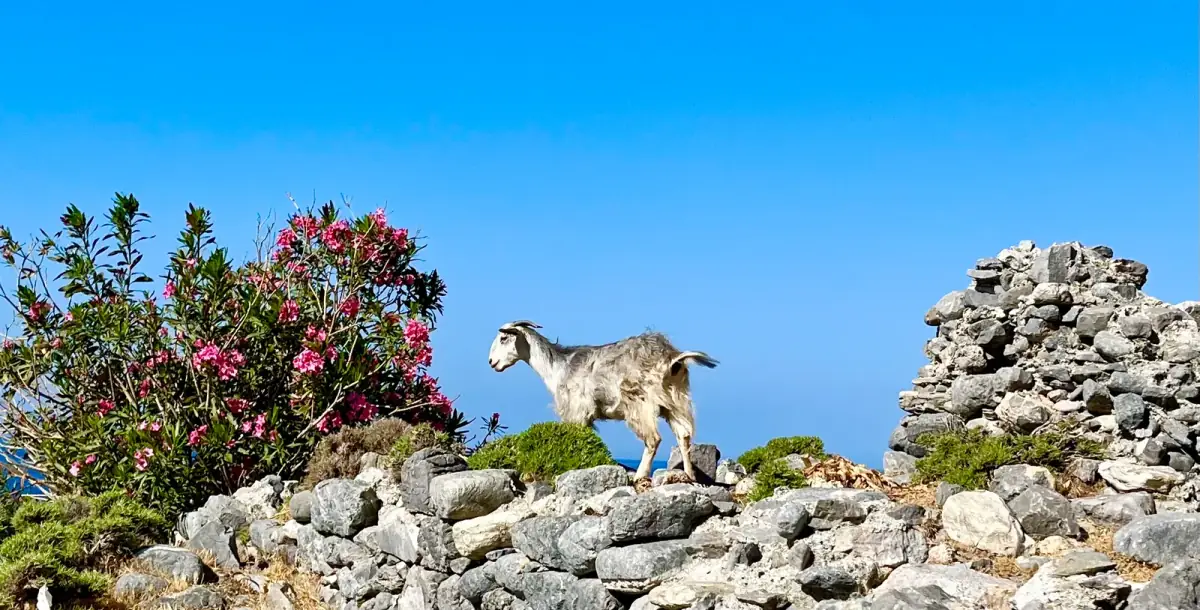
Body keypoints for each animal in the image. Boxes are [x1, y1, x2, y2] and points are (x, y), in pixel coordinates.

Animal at [486, 320, 717, 482]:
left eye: (504, 338)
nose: (491, 362)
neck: (558, 367)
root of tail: (672, 358)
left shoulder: (576, 411)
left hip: (640, 402)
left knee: (653, 439)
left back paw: (640, 475)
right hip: (675, 402)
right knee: (684, 436)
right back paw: (690, 475)